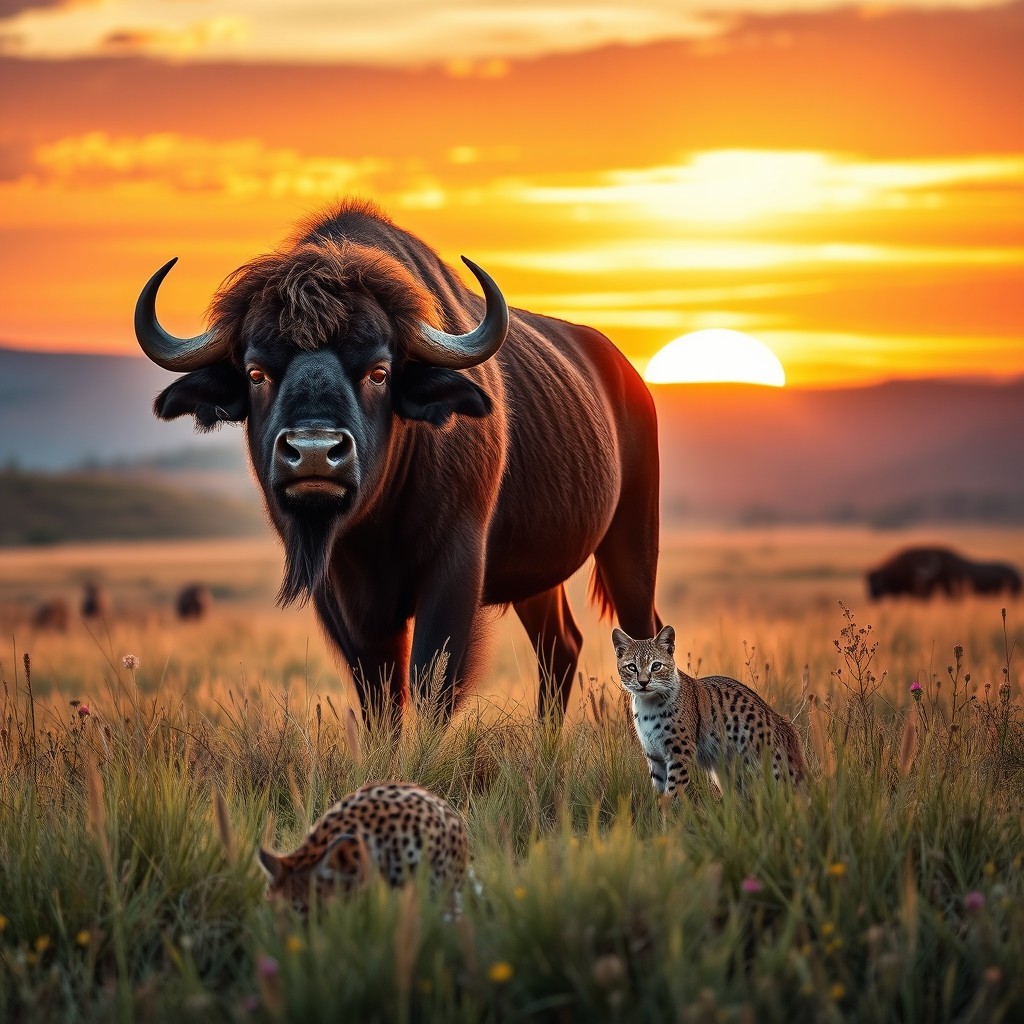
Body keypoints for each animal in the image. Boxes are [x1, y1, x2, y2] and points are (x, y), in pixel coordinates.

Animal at [135, 200, 661, 722]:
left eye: (379, 371)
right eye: (256, 372)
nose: (314, 452)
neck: (375, 521)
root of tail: (628, 379)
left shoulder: (454, 571)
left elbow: (431, 683)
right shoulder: (341, 597)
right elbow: (380, 696)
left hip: (631, 544)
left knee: (642, 632)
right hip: (537, 579)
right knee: (560, 645)